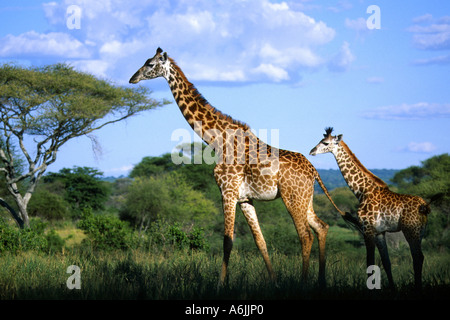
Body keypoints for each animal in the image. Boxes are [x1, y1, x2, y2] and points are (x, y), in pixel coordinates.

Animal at [129, 48, 348, 288]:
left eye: (150, 64)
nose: (132, 78)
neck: (216, 139)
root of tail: (314, 171)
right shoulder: (244, 198)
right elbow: (260, 241)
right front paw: (274, 282)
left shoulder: (228, 191)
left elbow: (227, 241)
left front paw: (220, 285)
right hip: (305, 198)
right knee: (321, 227)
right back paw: (321, 281)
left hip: (292, 197)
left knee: (305, 235)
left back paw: (302, 282)